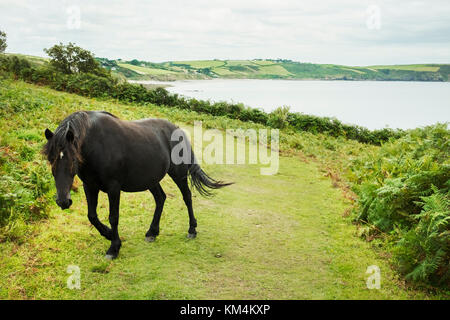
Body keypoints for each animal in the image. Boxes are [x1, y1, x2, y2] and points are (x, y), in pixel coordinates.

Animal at [44, 111, 232, 258]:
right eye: (50, 159)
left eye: (72, 160)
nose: (63, 201)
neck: (96, 144)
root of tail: (177, 129)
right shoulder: (89, 186)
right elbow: (92, 216)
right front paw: (108, 234)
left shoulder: (114, 188)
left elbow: (113, 217)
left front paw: (114, 247)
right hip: (151, 179)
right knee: (160, 198)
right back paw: (152, 232)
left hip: (178, 174)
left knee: (187, 197)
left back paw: (192, 230)